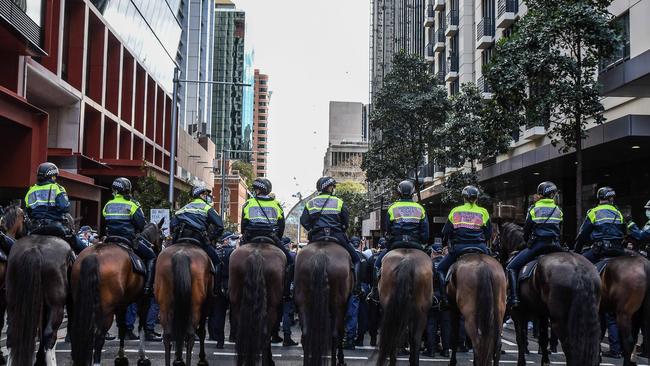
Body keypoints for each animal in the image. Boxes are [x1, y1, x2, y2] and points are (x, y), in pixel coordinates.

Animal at [68, 220, 163, 366]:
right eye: (162, 237)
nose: (160, 252)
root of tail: (94, 255)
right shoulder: (143, 300)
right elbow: (141, 326)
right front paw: (142, 357)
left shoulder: (122, 304)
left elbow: (122, 327)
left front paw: (121, 357)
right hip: (106, 309)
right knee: (99, 335)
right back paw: (96, 362)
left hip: (81, 302)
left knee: (77, 330)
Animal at [498, 223, 600, 366]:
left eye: (498, 236)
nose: (495, 252)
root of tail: (578, 268)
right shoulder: (542, 313)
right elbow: (543, 337)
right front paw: (545, 361)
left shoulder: (517, 312)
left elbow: (520, 338)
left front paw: (522, 362)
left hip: (560, 318)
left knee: (569, 344)